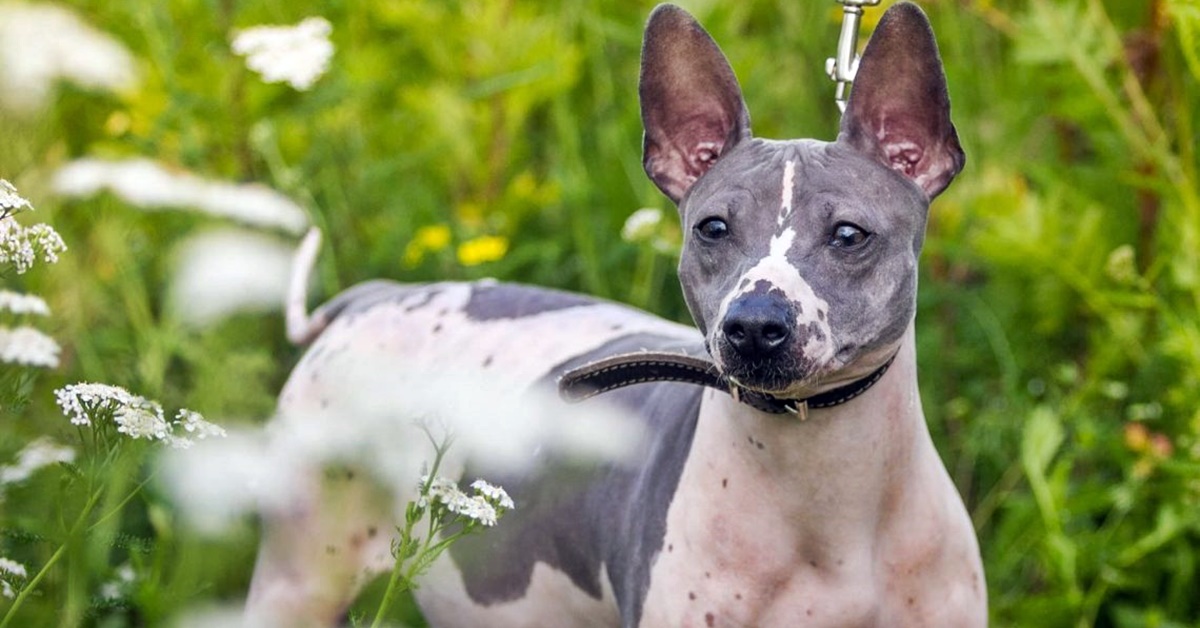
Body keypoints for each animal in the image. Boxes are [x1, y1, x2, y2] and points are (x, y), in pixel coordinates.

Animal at [243, 2, 984, 624]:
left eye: (849, 235)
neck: (829, 496)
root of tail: (375, 297)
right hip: (297, 577)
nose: (752, 325)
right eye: (713, 229)